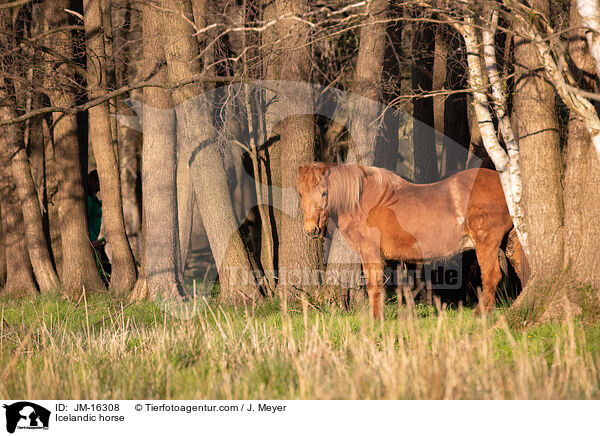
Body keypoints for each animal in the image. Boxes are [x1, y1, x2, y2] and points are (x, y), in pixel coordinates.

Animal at [296, 162, 528, 318]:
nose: (310, 230)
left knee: (492, 277)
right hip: (510, 241)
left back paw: (481, 314)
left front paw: (376, 320)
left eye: (324, 193)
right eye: (300, 193)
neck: (363, 201)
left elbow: (374, 286)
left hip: (487, 243)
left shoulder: (370, 252)